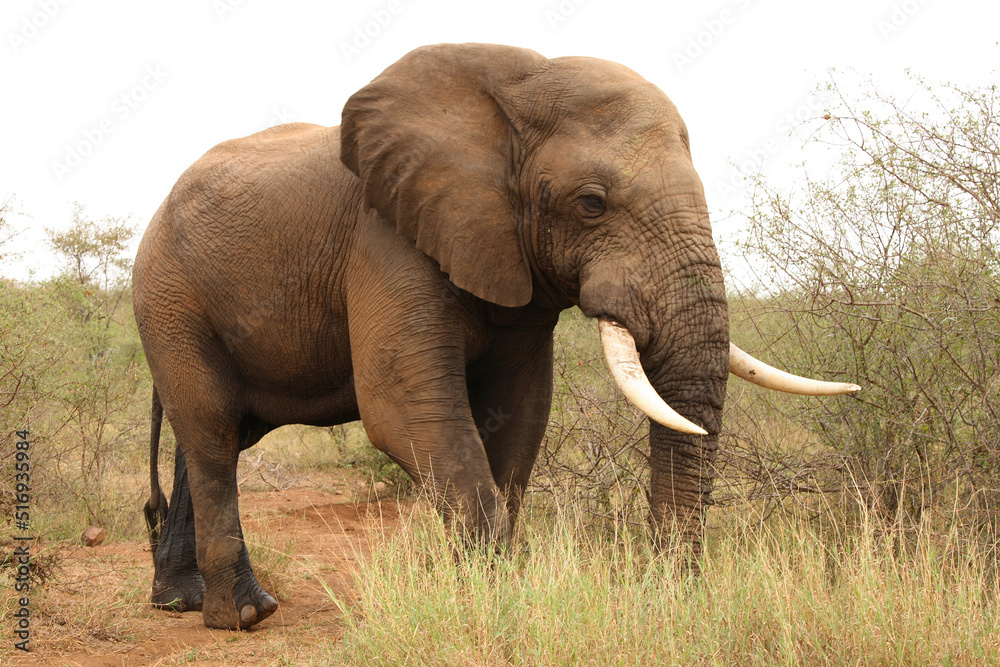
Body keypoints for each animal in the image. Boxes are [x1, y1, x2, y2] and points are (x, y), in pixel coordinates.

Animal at [133, 43, 858, 630]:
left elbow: (517, 415)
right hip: (169, 298)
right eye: (591, 203)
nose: (664, 593)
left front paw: (496, 592)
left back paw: (184, 602)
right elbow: (409, 410)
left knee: (216, 434)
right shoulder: (386, 236)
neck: (511, 93)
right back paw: (242, 617)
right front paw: (500, 601)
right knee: (213, 430)